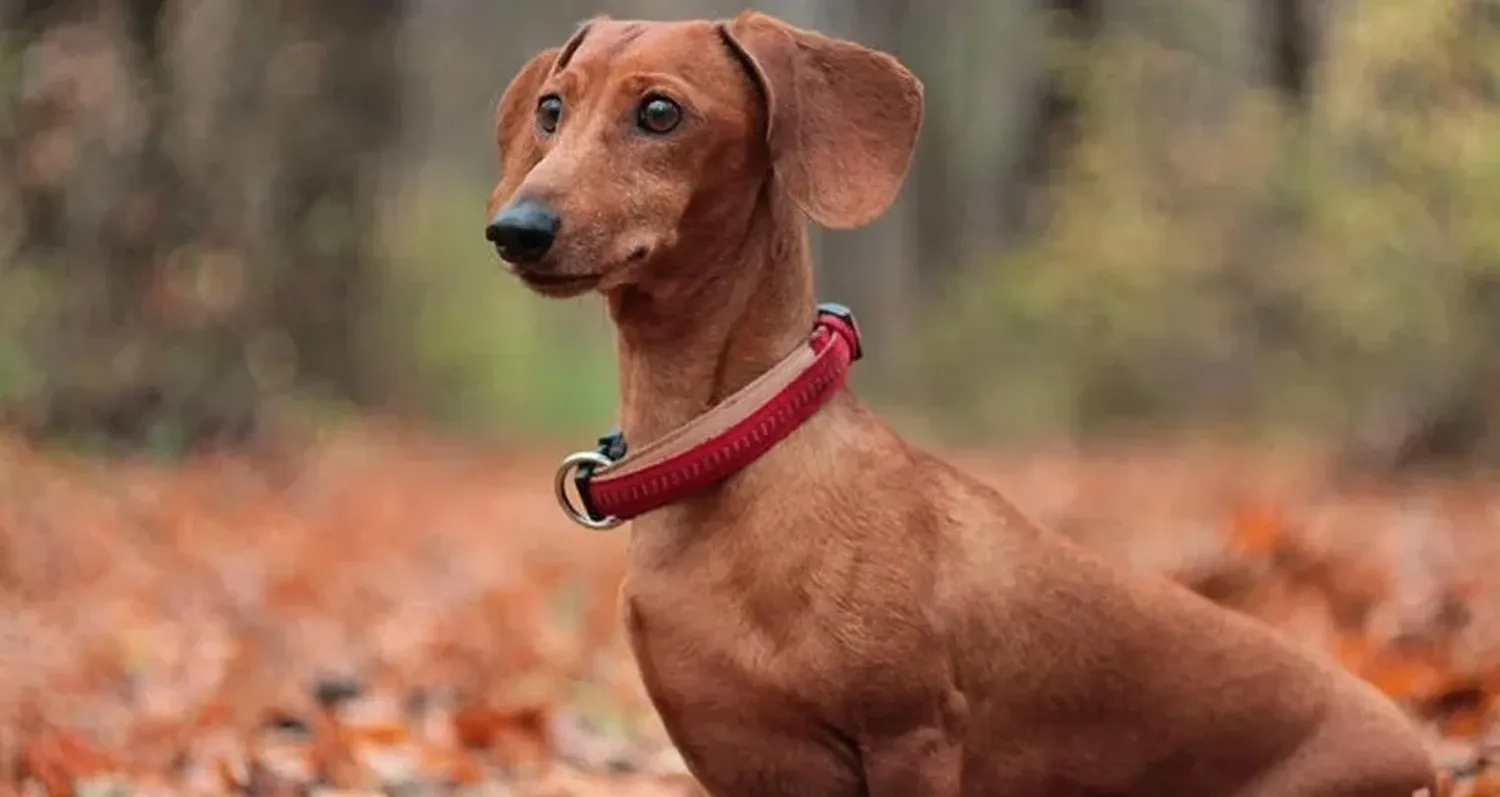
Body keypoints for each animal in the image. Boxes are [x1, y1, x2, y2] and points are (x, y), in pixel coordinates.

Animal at [486, 7, 1434, 797]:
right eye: (552, 110)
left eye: (659, 113)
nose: (513, 230)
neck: (729, 449)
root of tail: (1423, 749)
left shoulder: (912, 734)